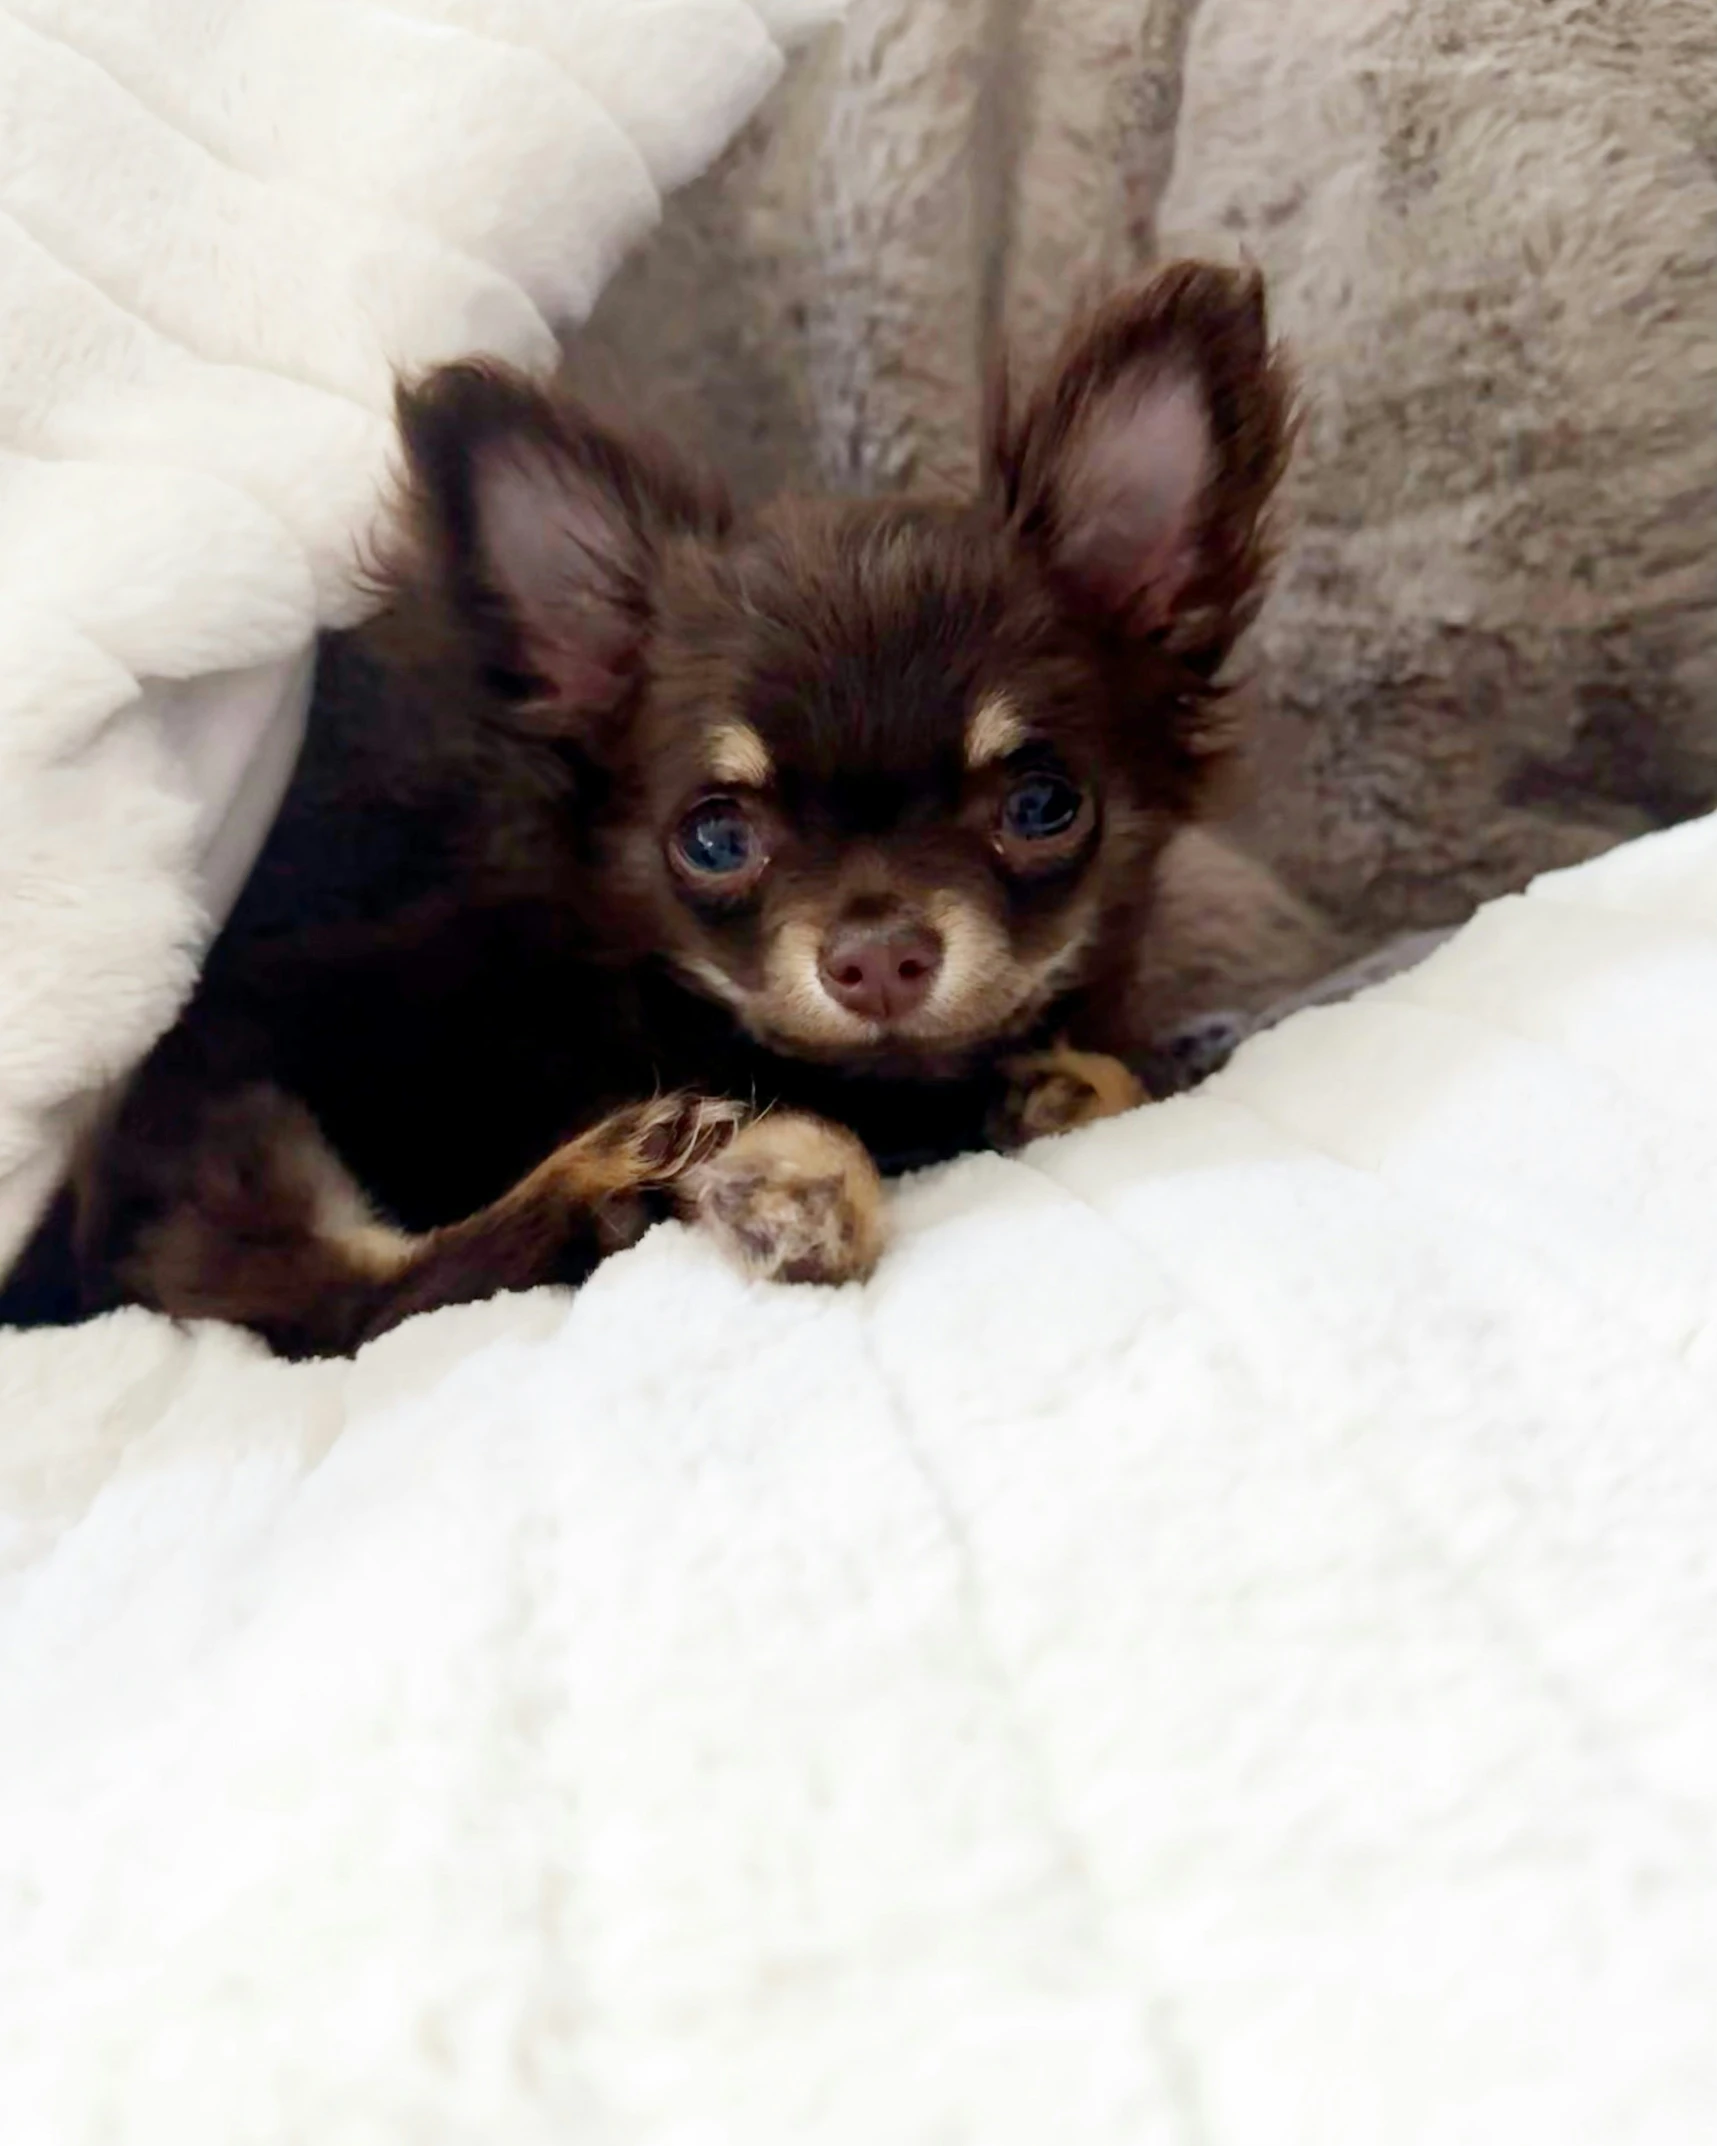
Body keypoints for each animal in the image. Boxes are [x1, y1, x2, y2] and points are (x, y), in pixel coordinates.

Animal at [3, 259, 1330, 1347]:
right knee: (350, 1299)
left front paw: (1054, 1086)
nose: (878, 955)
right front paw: (798, 1176)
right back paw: (607, 1177)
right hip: (252, 1113)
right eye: (716, 835)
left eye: (1044, 805)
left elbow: (1113, 1072)